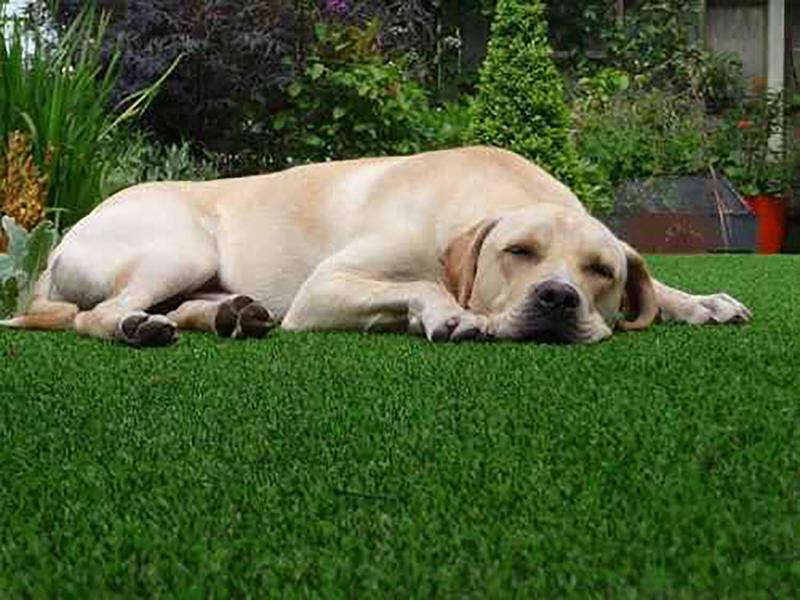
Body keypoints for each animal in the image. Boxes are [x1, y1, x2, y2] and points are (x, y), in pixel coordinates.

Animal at [0, 146, 752, 346]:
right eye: (518, 253)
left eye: (601, 271)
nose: (558, 299)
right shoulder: (324, 290)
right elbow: (419, 285)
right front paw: (448, 310)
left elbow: (660, 289)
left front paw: (702, 301)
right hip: (179, 248)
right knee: (100, 315)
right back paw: (137, 326)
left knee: (189, 305)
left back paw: (228, 314)